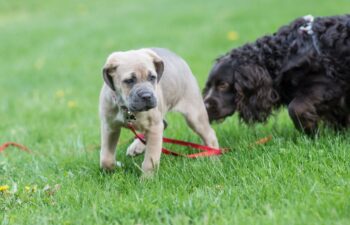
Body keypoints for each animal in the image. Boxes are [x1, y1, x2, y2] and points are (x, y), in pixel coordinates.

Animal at [202, 14, 350, 134]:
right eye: (208, 86)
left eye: (223, 85)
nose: (205, 107)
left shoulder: (329, 84)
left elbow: (296, 108)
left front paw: (310, 131)